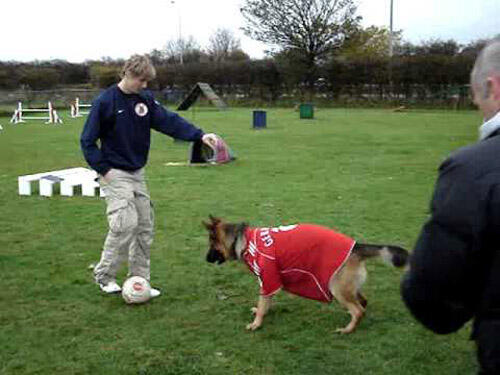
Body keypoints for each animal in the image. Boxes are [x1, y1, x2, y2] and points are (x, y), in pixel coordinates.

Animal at [204, 216, 410, 336]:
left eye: (212, 246)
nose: (205, 259)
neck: (244, 241)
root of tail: (357, 246)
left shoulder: (268, 278)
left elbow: (263, 303)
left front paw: (257, 323)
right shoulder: (270, 282)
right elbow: (266, 301)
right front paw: (262, 313)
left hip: (337, 288)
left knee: (359, 309)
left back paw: (348, 329)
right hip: (347, 287)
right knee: (363, 302)